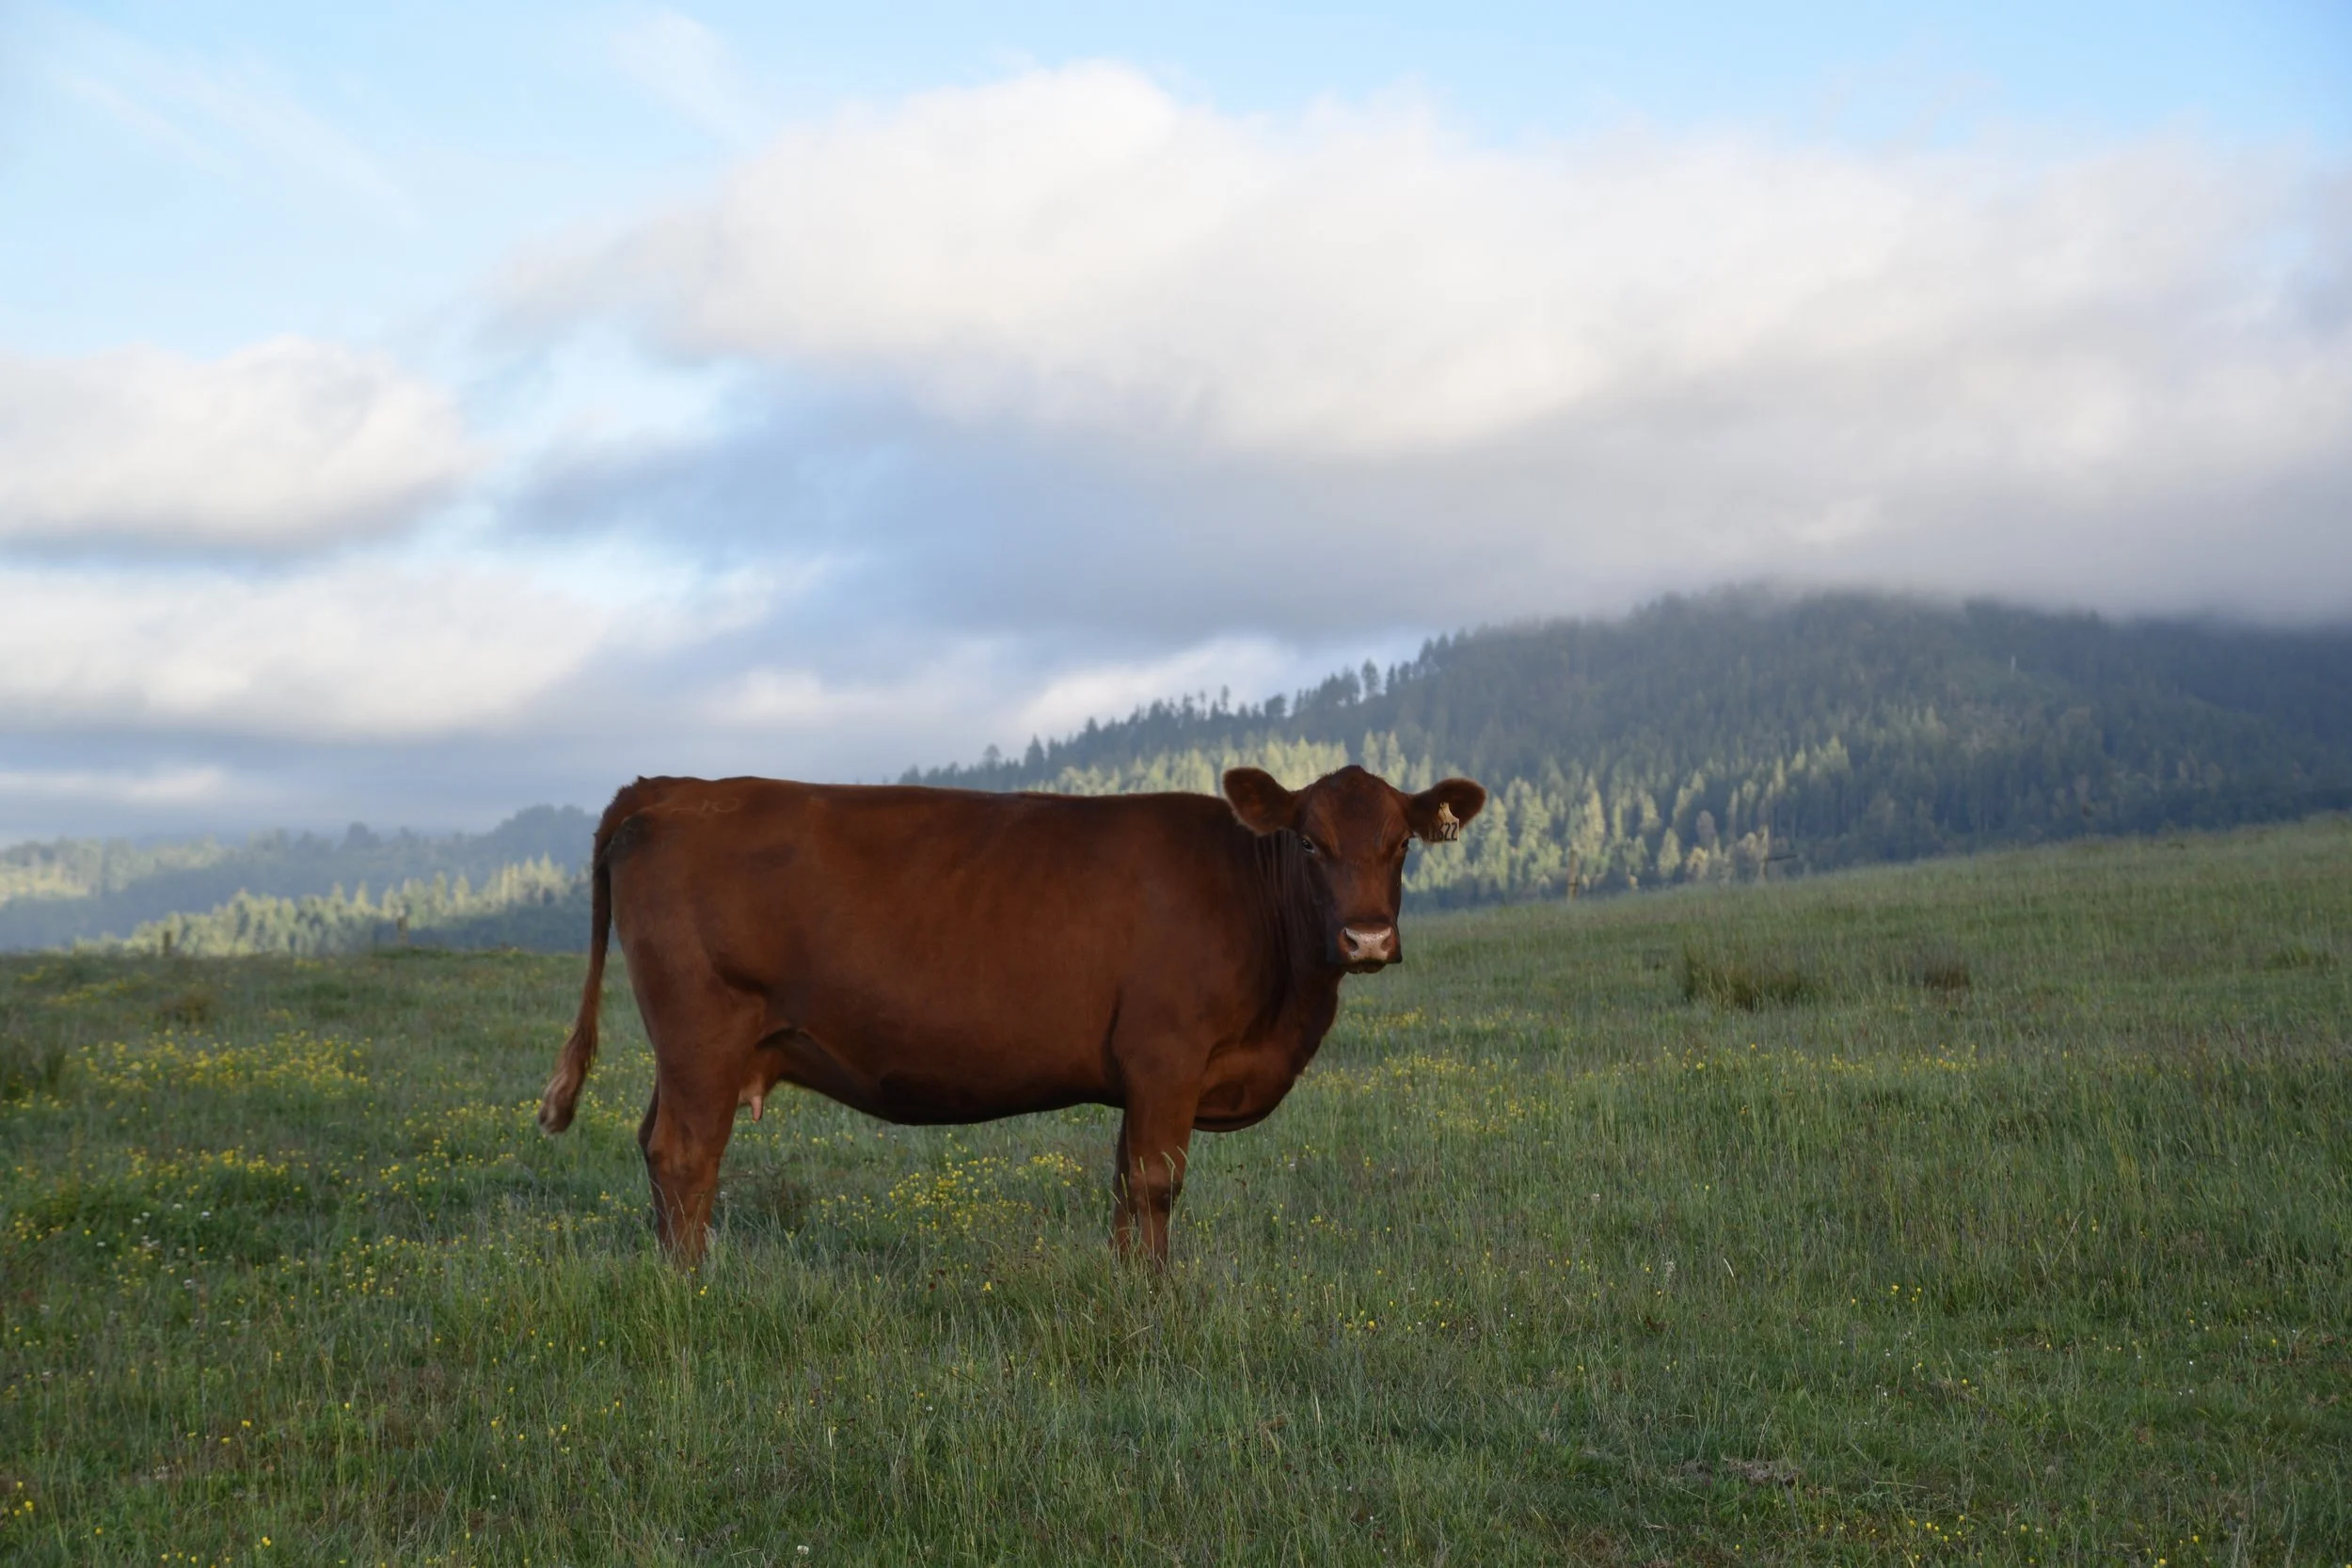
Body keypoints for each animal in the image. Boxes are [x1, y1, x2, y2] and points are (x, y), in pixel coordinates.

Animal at [536, 764, 1487, 1265]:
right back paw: (690, 1285)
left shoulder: (1141, 1080)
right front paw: (1156, 1304)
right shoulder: (1167, 1056)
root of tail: (671, 787)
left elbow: (1123, 1187)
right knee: (686, 1155)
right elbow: (1155, 1185)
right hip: (702, 1033)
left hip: (692, 1050)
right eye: (1310, 842)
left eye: (1400, 843)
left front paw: (1123, 1289)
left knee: (657, 1147)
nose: (1368, 937)